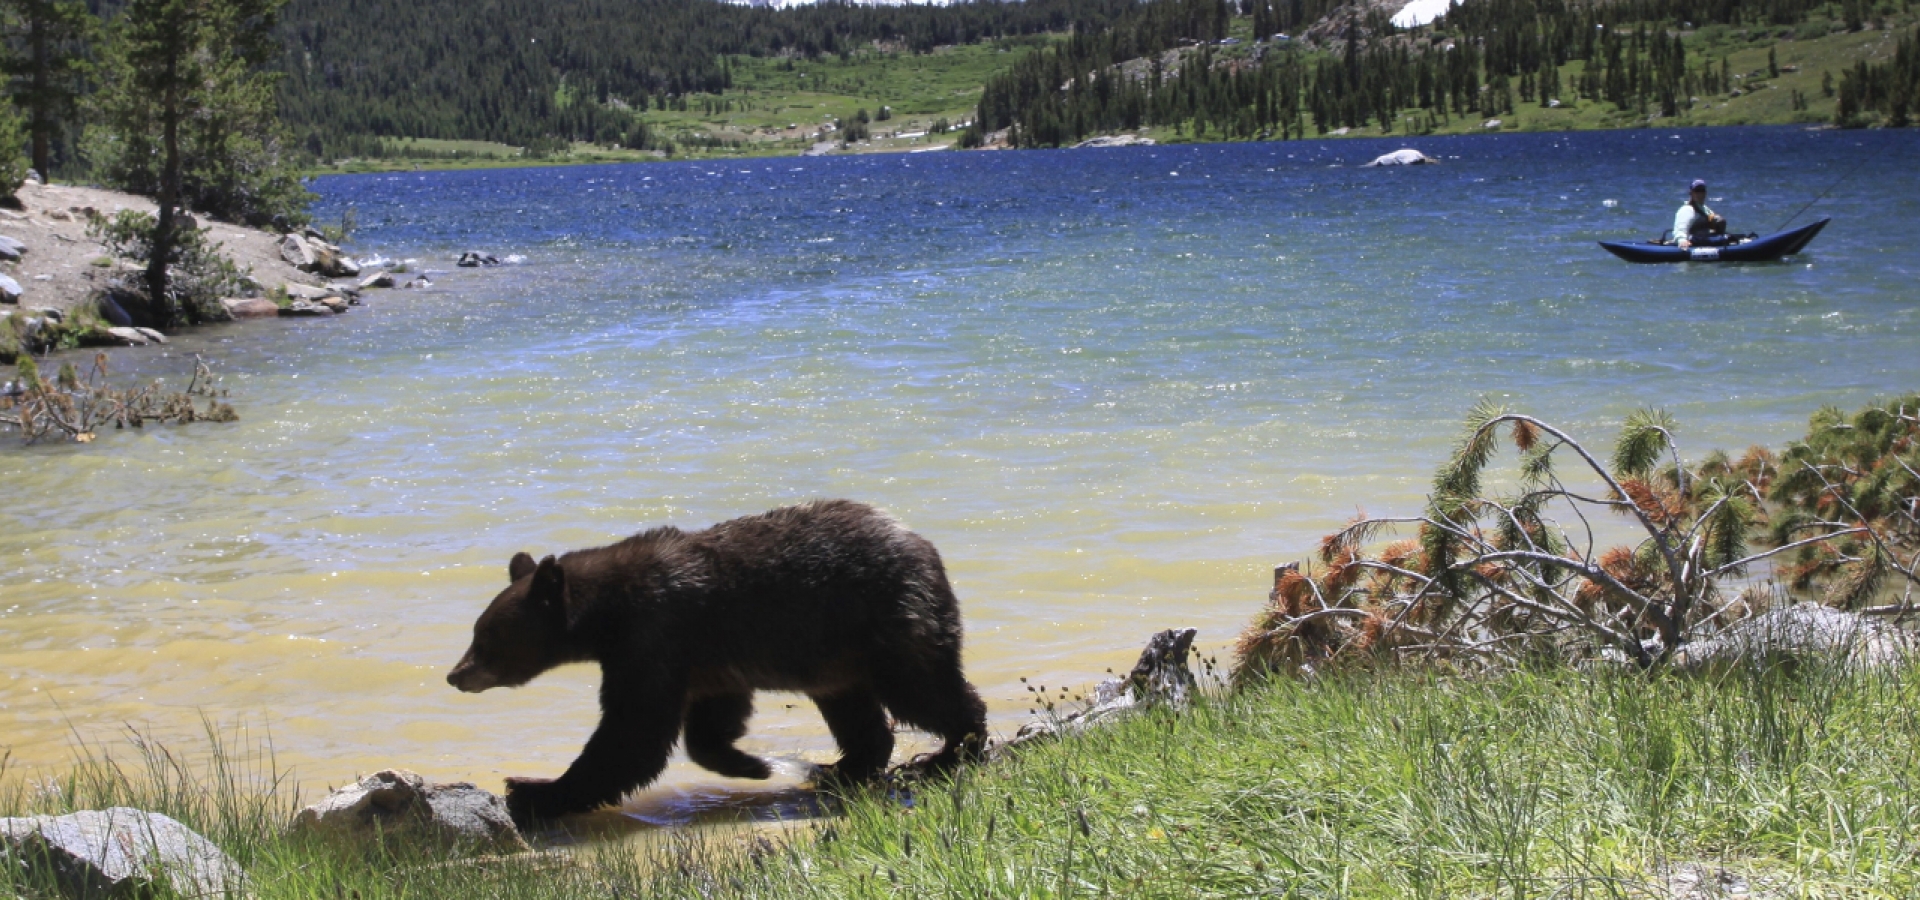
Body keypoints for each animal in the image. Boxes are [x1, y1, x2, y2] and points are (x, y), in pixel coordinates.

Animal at [446, 499, 989, 827]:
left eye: (487, 635)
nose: (455, 674)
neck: (607, 614)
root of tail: (925, 546)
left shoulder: (654, 637)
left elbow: (632, 731)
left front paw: (534, 789)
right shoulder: (703, 656)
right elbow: (709, 719)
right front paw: (751, 763)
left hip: (885, 621)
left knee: (922, 689)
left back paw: (948, 752)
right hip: (835, 653)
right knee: (855, 710)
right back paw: (841, 769)